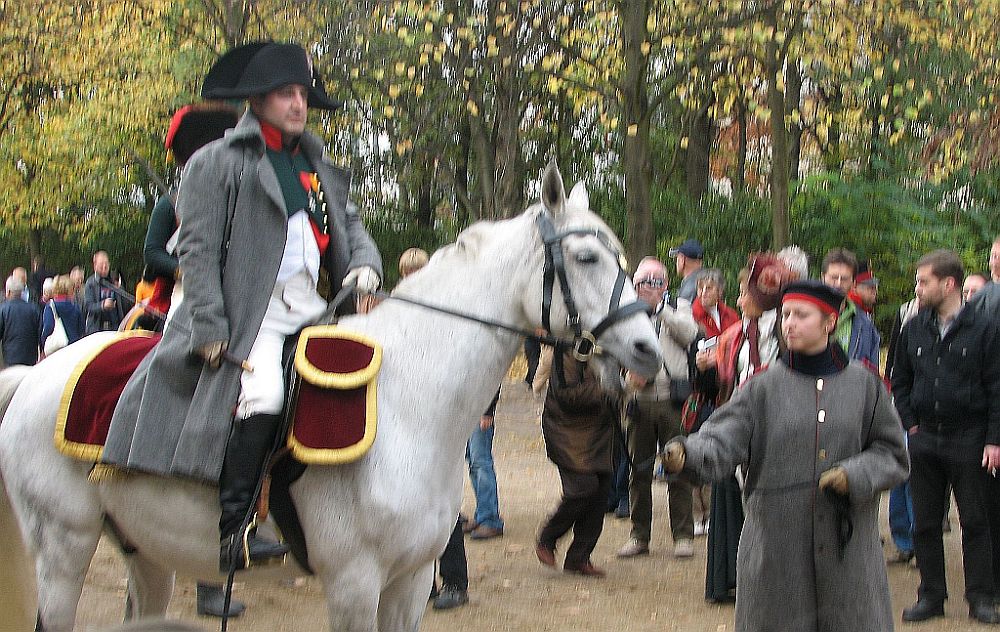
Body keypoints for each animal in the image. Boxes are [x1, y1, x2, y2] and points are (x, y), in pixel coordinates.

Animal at [1, 164, 664, 632]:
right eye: (585, 256)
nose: (648, 350)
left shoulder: (410, 581)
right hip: (64, 547)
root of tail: (34, 377)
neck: (408, 405)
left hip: (144, 548)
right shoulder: (354, 583)